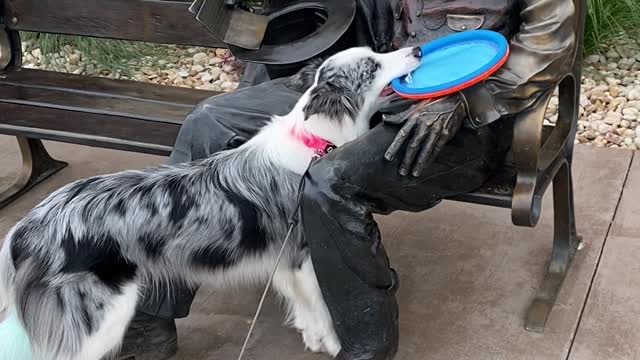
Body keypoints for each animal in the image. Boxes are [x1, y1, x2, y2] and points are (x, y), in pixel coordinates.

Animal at [0, 47, 422, 360]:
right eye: (373, 64)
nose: (417, 49)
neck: (314, 140)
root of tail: (27, 227)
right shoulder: (303, 253)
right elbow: (321, 307)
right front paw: (334, 346)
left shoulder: (284, 259)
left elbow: (306, 311)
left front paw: (314, 339)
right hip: (98, 319)